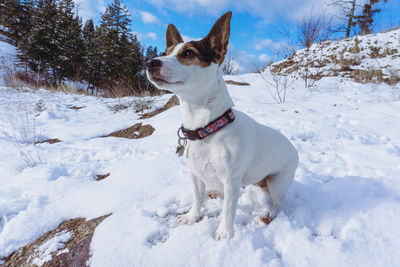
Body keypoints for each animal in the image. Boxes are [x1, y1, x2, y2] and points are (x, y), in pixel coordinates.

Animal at [146, 11, 296, 240]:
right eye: (166, 52)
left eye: (188, 53)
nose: (150, 62)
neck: (207, 128)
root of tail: (294, 148)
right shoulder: (195, 174)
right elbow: (197, 198)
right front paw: (192, 217)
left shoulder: (232, 179)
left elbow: (228, 210)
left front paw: (224, 233)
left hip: (277, 182)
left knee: (281, 203)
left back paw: (269, 213)